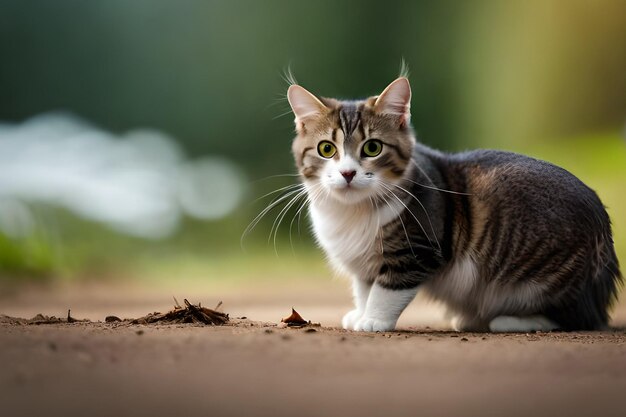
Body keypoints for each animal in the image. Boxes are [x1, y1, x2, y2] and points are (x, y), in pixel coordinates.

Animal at [286, 75, 620, 332]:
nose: (347, 173)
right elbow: (364, 289)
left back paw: (508, 321)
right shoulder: (365, 264)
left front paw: (373, 320)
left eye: (372, 148)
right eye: (326, 149)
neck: (351, 212)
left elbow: (386, 290)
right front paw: (361, 312)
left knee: (579, 317)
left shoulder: (415, 250)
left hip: (548, 276)